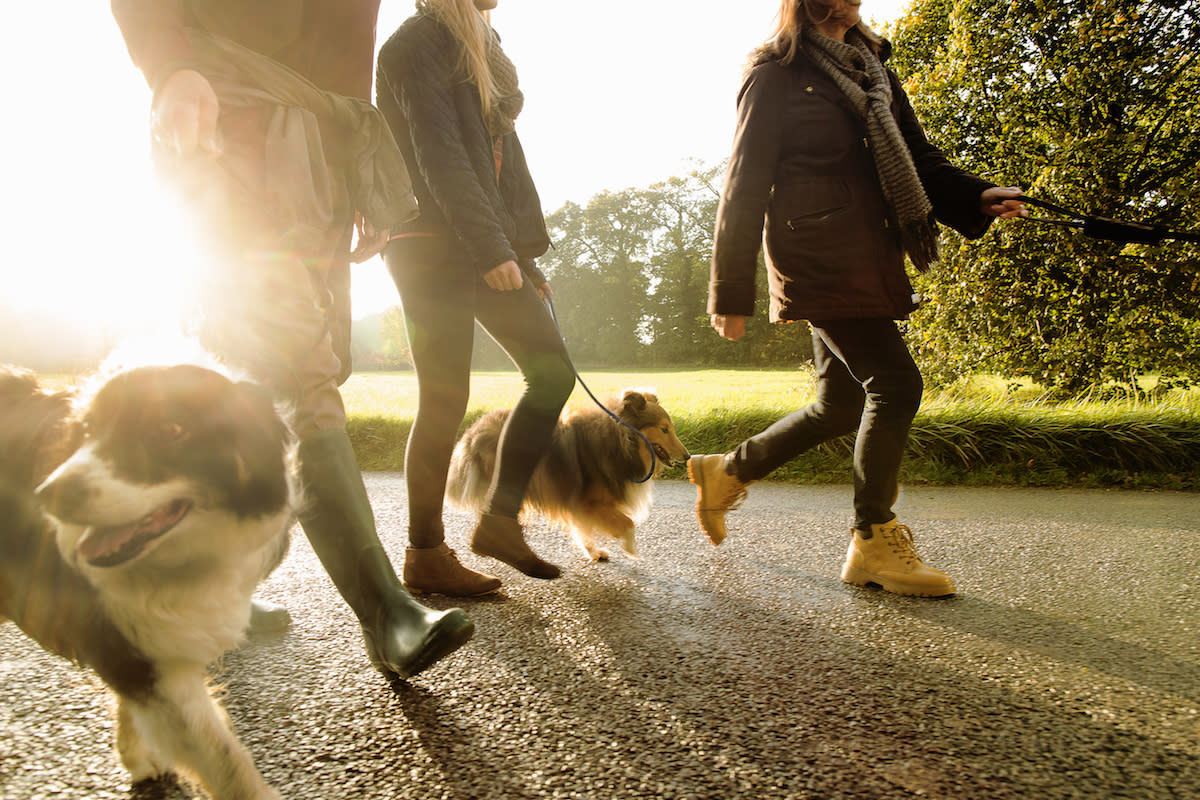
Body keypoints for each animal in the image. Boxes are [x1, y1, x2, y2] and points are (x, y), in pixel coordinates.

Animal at [1, 362, 296, 800]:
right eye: (88, 429)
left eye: (169, 429)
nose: (47, 495)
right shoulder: (134, 649)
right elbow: (227, 761)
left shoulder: (146, 640)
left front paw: (134, 755)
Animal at [446, 391, 691, 561]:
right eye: (664, 429)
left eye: (671, 427)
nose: (688, 456)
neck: (621, 441)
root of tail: (473, 430)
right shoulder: (589, 502)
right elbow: (628, 523)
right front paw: (631, 550)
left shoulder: (578, 504)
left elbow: (582, 529)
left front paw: (594, 553)